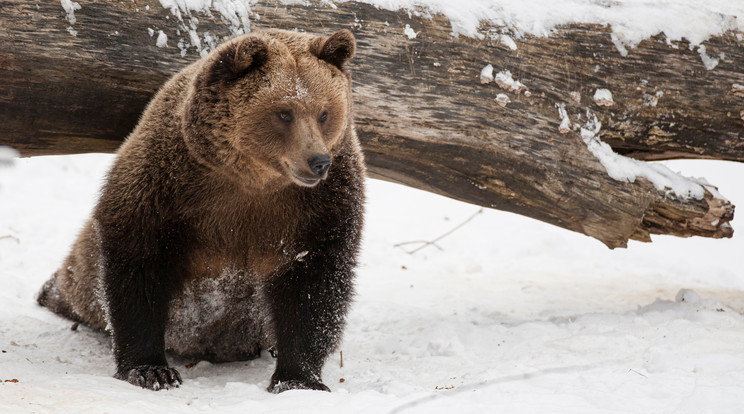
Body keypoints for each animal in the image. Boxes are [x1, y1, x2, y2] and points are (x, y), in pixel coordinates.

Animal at [35, 28, 366, 392]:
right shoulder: (166, 188)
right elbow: (139, 269)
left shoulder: (317, 207)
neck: (252, 180)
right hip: (85, 269)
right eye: (283, 112)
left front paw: (298, 379)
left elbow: (313, 286)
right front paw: (151, 370)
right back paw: (49, 294)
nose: (317, 161)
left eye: (324, 113)